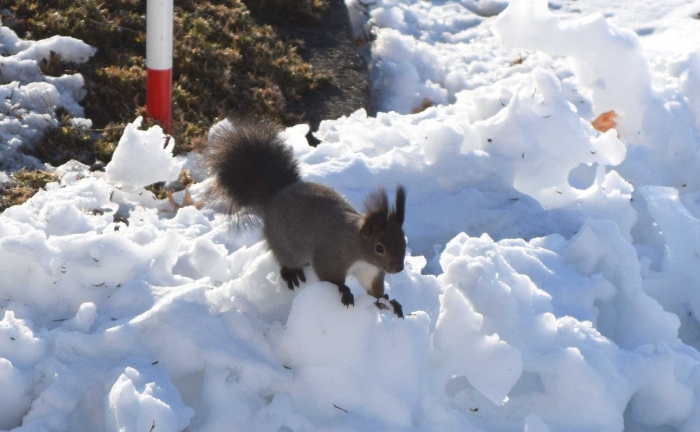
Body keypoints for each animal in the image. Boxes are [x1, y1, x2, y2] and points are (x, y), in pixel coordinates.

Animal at [203, 117, 406, 318]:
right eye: (379, 248)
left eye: (403, 241)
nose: (399, 268)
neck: (359, 250)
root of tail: (276, 195)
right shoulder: (331, 256)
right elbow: (331, 279)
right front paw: (345, 292)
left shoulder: (371, 272)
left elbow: (375, 292)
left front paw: (390, 302)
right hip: (285, 244)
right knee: (284, 258)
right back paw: (291, 273)